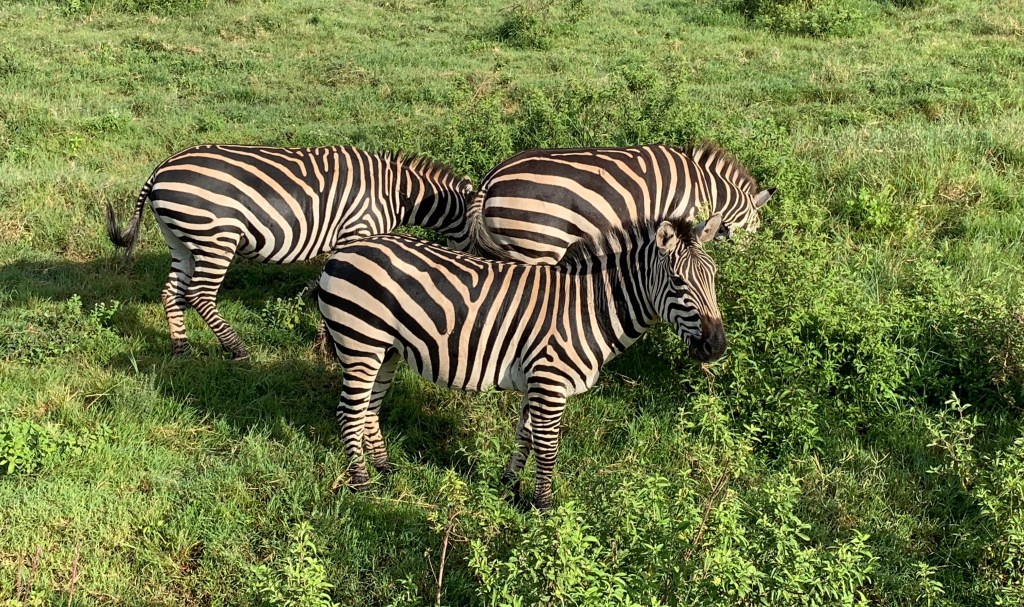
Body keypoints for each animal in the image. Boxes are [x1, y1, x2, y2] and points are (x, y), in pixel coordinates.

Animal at [106, 144, 474, 360]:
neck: (396, 193)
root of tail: (160, 169)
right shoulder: (358, 230)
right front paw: (329, 346)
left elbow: (323, 283)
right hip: (215, 236)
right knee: (199, 295)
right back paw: (237, 349)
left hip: (180, 239)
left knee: (172, 293)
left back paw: (181, 349)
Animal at [316, 214, 726, 509]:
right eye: (677, 281)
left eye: (714, 277)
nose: (717, 348)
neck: (589, 307)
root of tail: (343, 252)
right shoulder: (550, 380)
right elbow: (548, 446)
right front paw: (543, 507)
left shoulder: (537, 380)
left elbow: (525, 435)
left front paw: (509, 487)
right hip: (361, 343)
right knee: (349, 412)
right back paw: (362, 484)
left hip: (386, 350)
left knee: (369, 410)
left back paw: (385, 469)